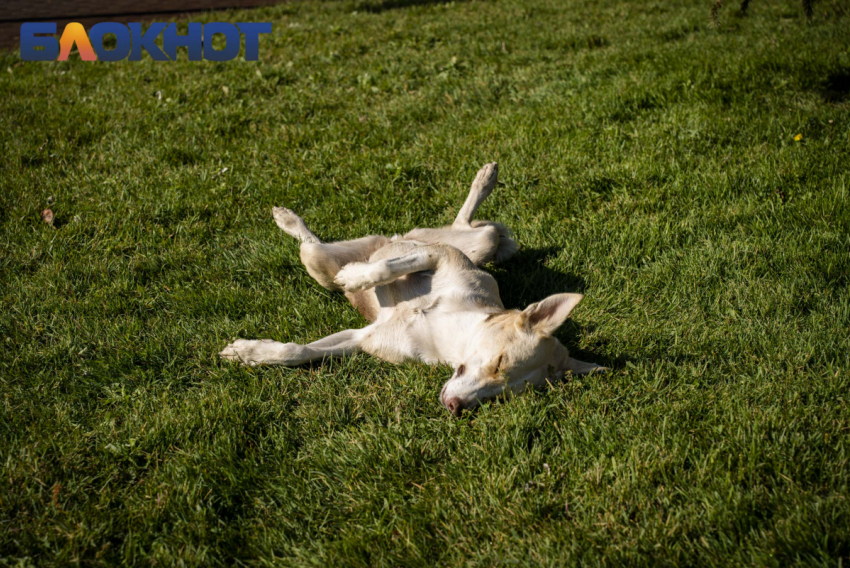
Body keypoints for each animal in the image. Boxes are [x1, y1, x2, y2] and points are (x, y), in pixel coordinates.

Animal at [219, 162, 604, 414]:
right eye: (498, 363)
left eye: (505, 394)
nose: (456, 407)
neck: (445, 333)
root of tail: (392, 235)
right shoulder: (440, 257)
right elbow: (392, 267)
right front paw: (357, 277)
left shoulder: (363, 338)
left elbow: (299, 352)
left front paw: (251, 353)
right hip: (336, 258)